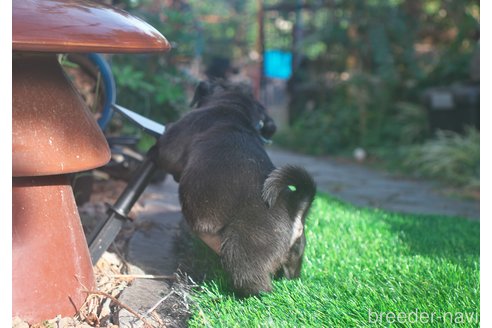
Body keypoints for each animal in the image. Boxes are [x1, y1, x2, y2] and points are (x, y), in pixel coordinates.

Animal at [155, 80, 316, 296]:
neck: (233, 108)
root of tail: (296, 206)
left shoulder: (171, 143)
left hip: (242, 251)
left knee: (260, 287)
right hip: (294, 258)